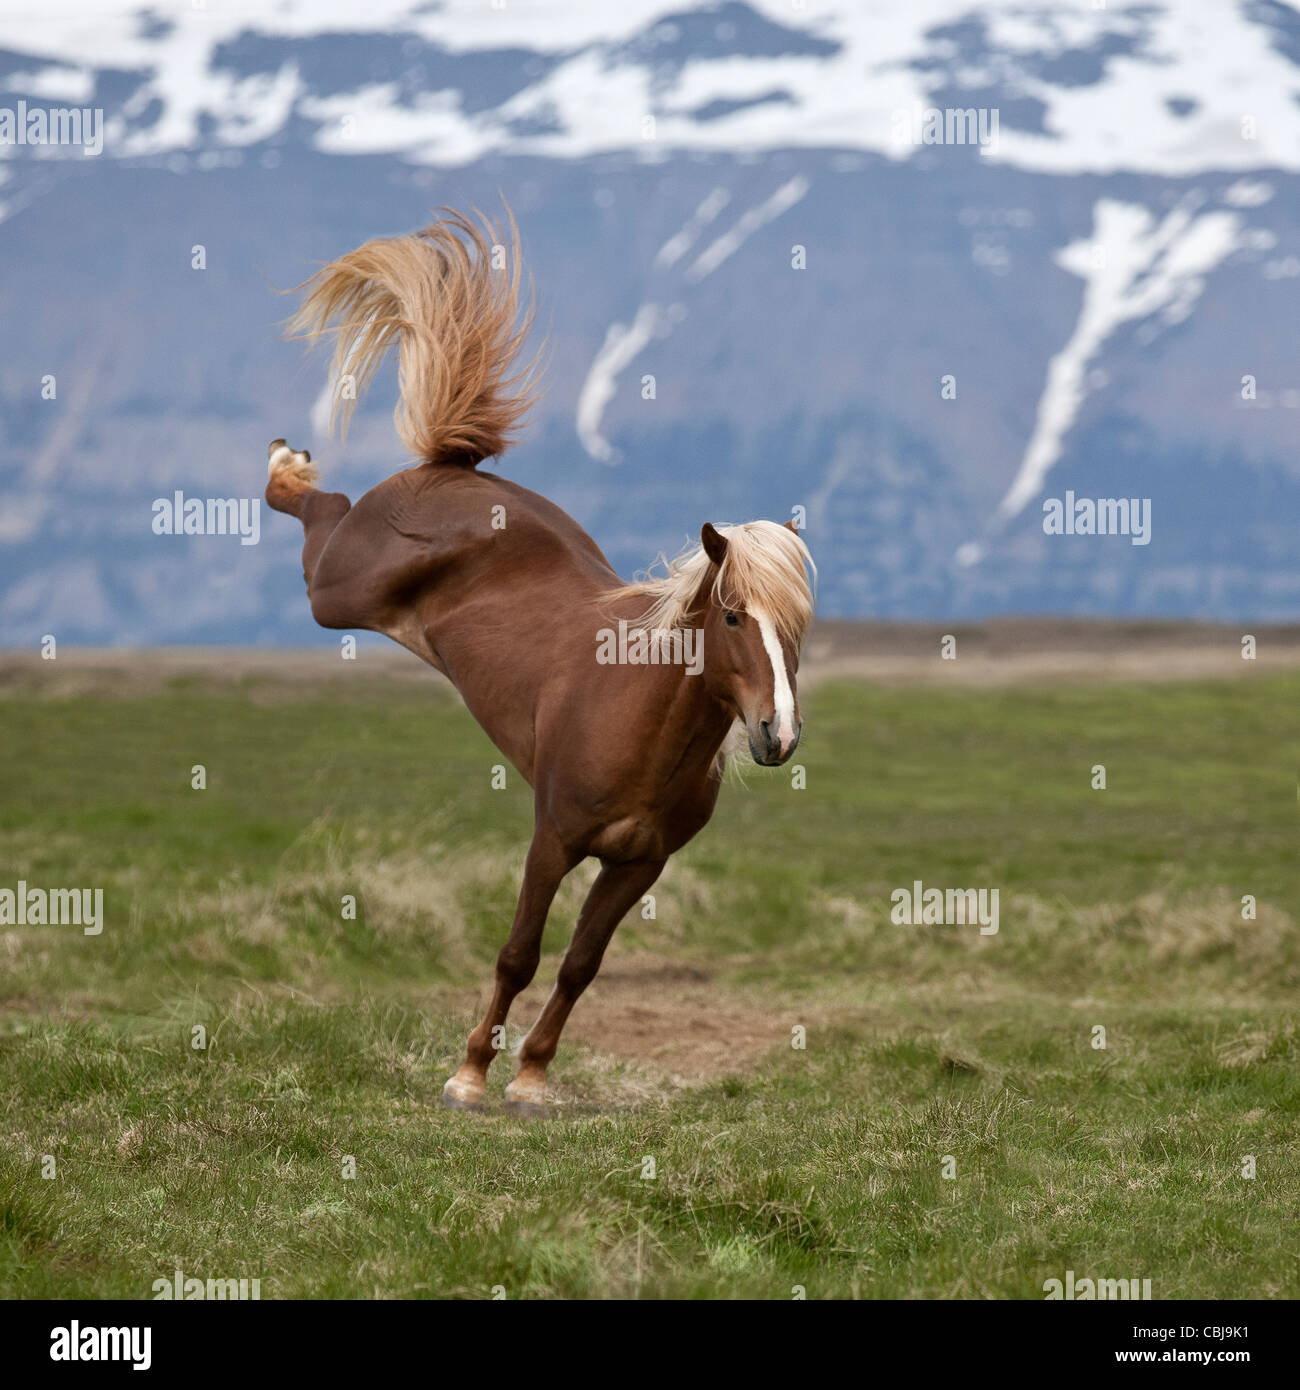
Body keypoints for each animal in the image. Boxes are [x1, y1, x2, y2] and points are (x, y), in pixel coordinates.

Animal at [264, 208, 811, 1117]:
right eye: (734, 615)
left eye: (800, 626)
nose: (778, 735)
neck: (640, 720)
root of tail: (451, 470)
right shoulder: (552, 839)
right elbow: (519, 952)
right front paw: (469, 1074)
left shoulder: (638, 863)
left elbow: (581, 965)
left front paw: (531, 1076)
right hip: (338, 589)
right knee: (321, 514)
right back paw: (285, 464)